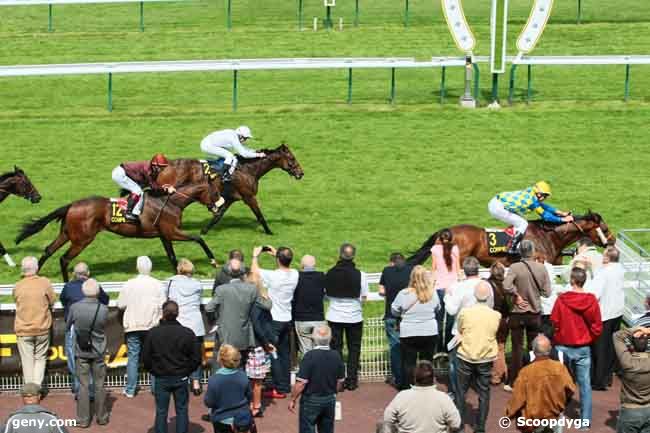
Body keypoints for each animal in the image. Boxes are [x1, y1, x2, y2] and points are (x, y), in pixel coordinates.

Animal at [15, 178, 221, 282]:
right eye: (216, 192)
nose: (219, 206)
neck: (171, 202)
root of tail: (72, 205)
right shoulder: (172, 232)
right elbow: (199, 238)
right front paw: (213, 261)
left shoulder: (164, 235)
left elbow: (172, 256)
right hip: (82, 239)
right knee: (64, 258)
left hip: (67, 234)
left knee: (48, 250)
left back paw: (33, 274)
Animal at [171, 143, 306, 235]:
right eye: (292, 158)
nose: (301, 173)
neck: (248, 169)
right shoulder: (249, 197)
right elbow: (260, 216)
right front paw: (269, 232)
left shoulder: (230, 198)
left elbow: (218, 216)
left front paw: (204, 231)